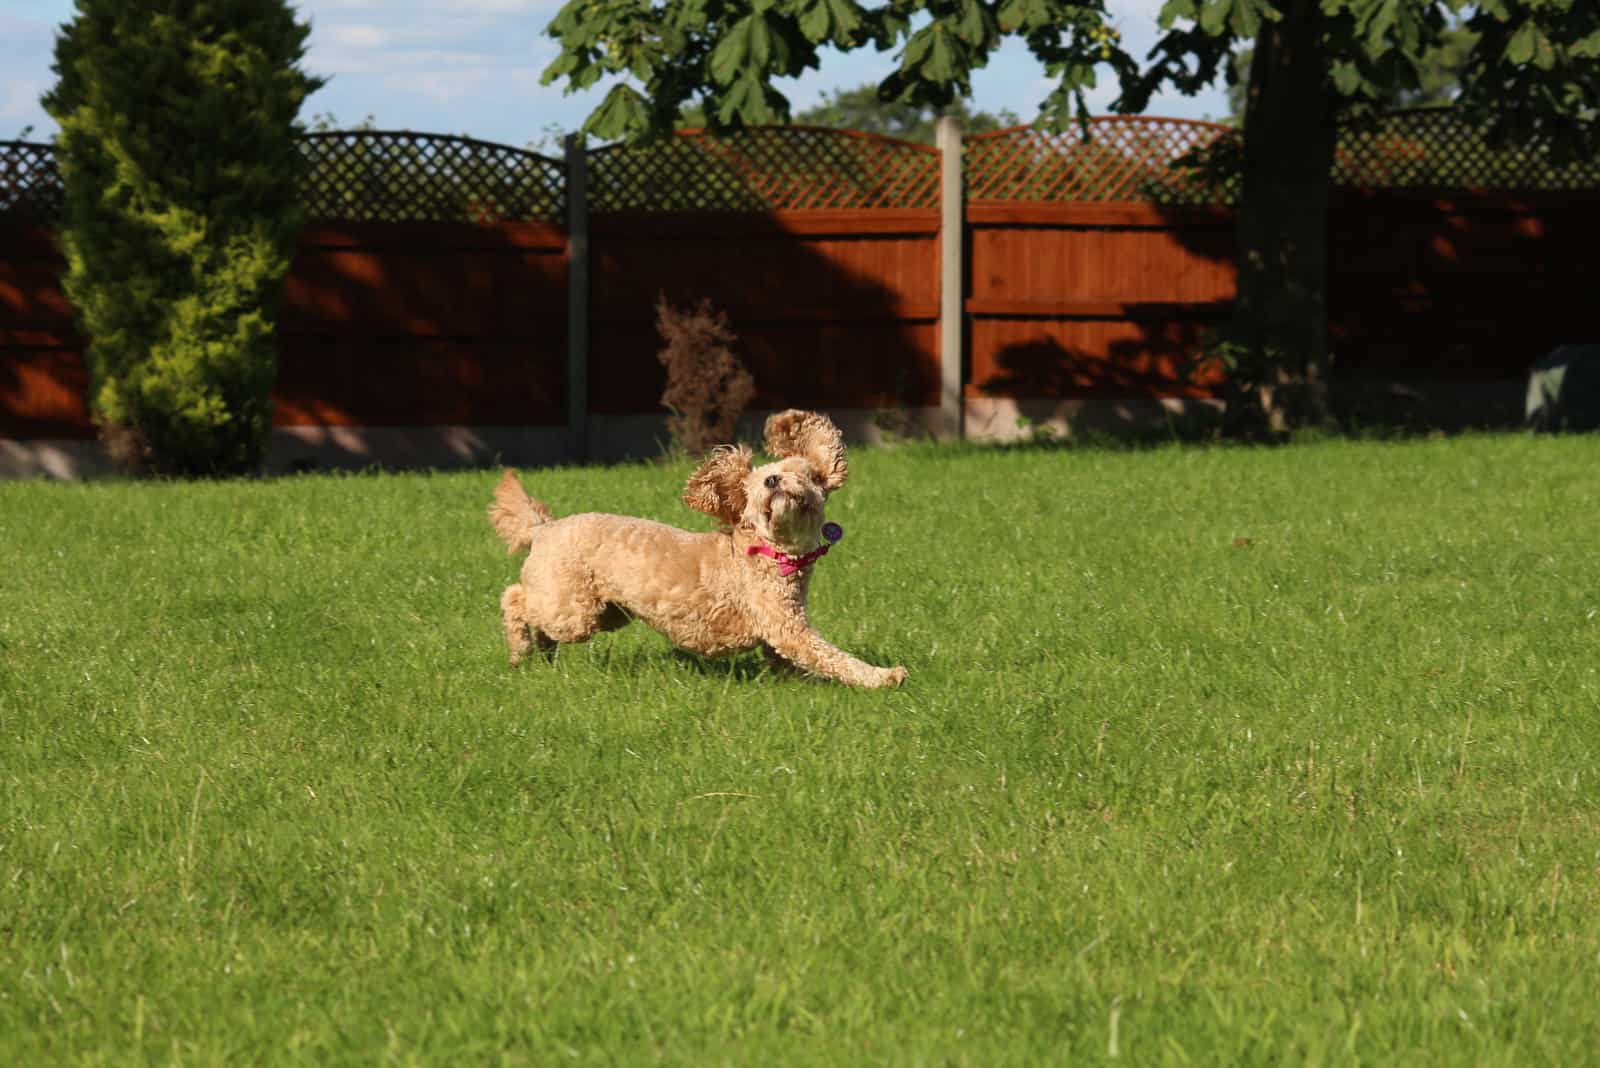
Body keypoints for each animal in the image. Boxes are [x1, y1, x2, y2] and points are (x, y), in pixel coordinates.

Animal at [486, 404, 908, 687]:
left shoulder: (777, 634)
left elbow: (791, 663)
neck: (770, 552)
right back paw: (519, 650)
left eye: (800, 473)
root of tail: (544, 529)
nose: (773, 481)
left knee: (542, 623)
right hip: (573, 608)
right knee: (514, 598)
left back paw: (542, 655)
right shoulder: (784, 624)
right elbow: (828, 655)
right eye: (759, 481)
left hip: (606, 612)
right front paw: (885, 676)